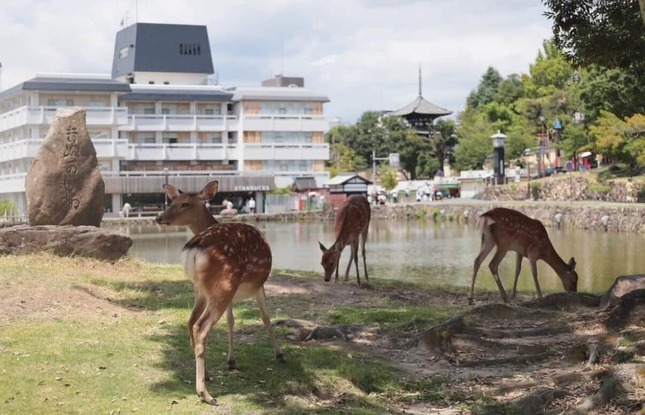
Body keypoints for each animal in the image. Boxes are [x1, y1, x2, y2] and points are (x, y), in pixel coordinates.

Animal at [155, 181, 284, 406]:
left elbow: (231, 320)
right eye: (172, 201)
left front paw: (231, 360)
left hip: (203, 289)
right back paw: (205, 394)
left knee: (190, 322)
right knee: (200, 326)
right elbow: (266, 318)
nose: (159, 218)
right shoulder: (259, 285)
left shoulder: (231, 294)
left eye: (184, 203)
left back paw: (205, 376)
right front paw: (280, 354)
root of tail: (195, 249)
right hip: (225, 283)